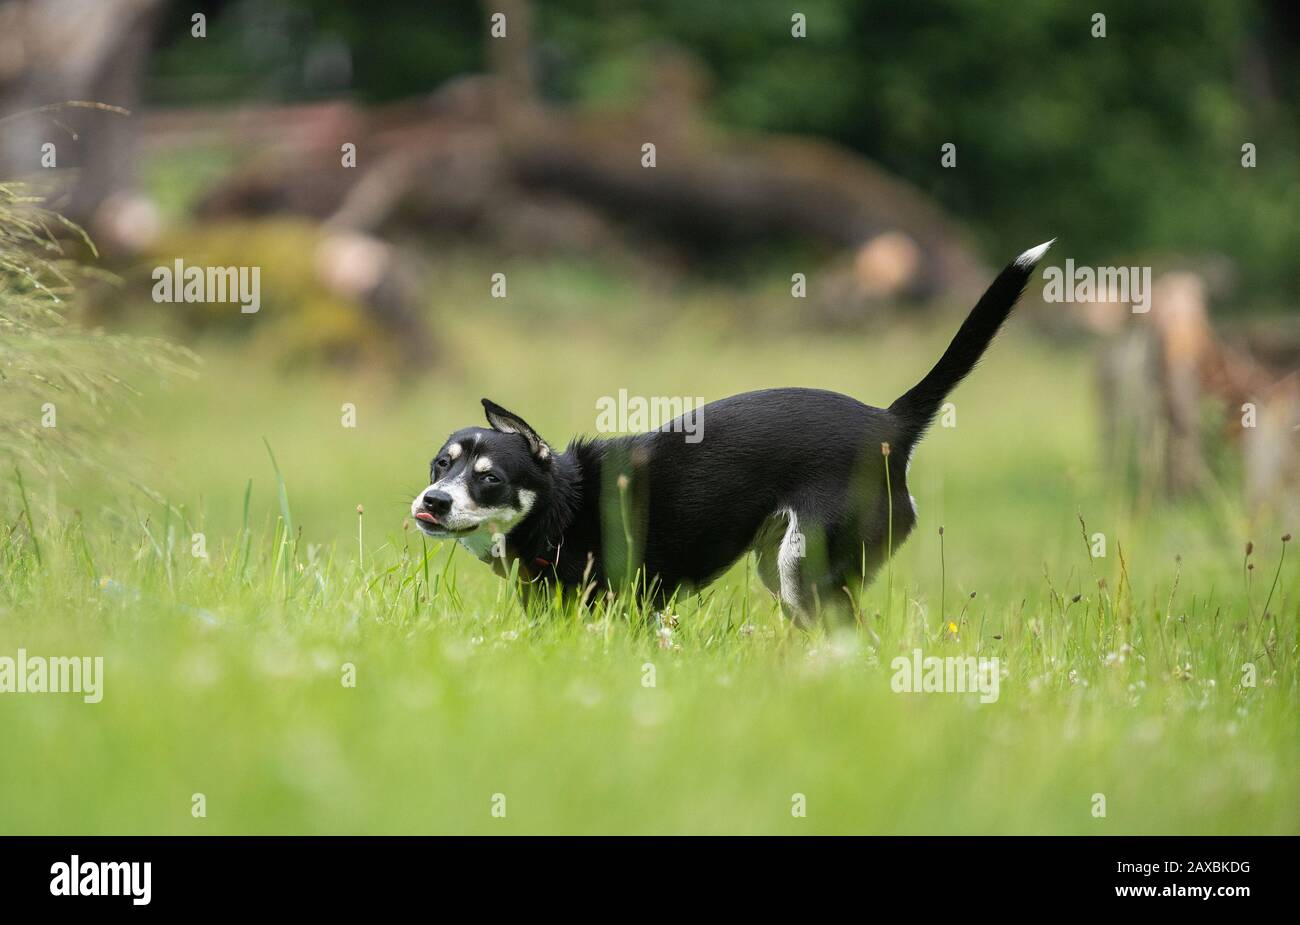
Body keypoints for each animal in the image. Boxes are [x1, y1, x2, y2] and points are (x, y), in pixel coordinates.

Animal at [410, 241, 1050, 626]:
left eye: (490, 479)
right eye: (441, 464)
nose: (433, 501)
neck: (563, 505)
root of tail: (888, 421)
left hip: (807, 573)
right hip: (784, 571)